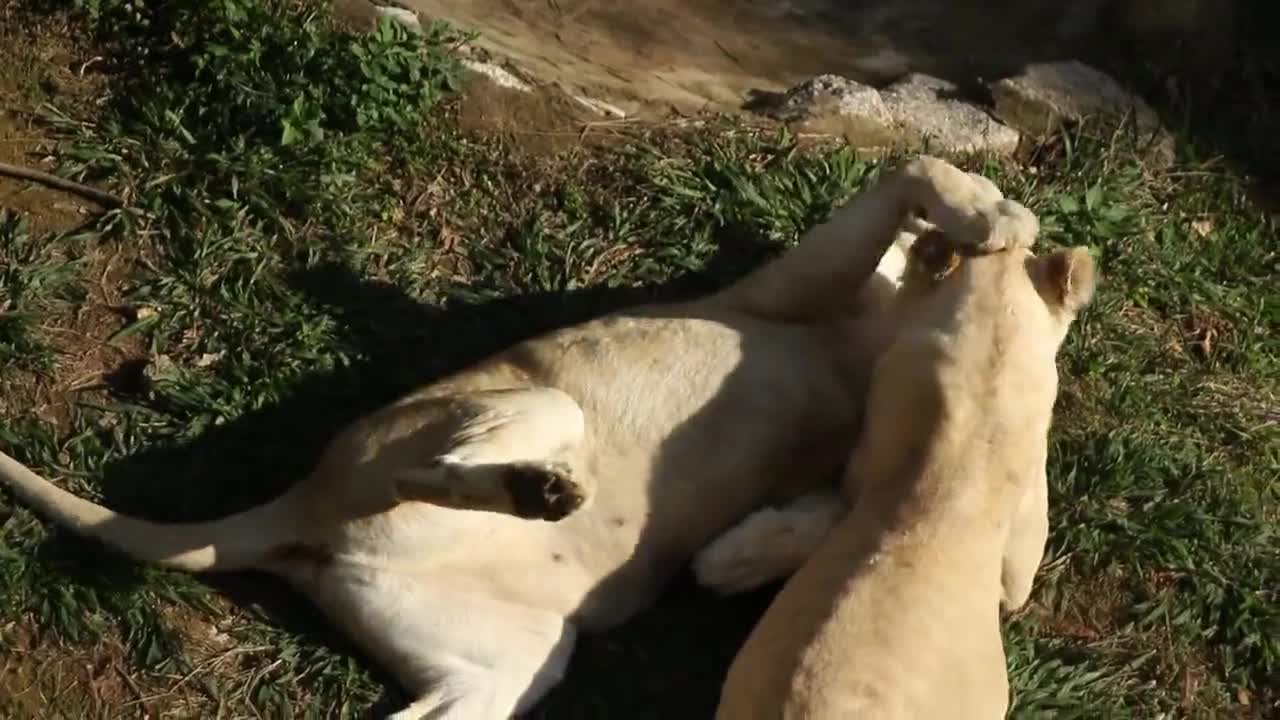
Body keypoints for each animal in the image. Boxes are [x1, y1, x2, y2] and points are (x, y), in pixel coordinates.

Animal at [0, 154, 1029, 712]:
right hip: (522, 409)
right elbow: (913, 174)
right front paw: (995, 214)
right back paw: (543, 488)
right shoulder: (790, 288)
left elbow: (831, 514)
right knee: (442, 462)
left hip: (512, 665)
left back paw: (542, 499)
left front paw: (740, 556)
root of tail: (303, 510)